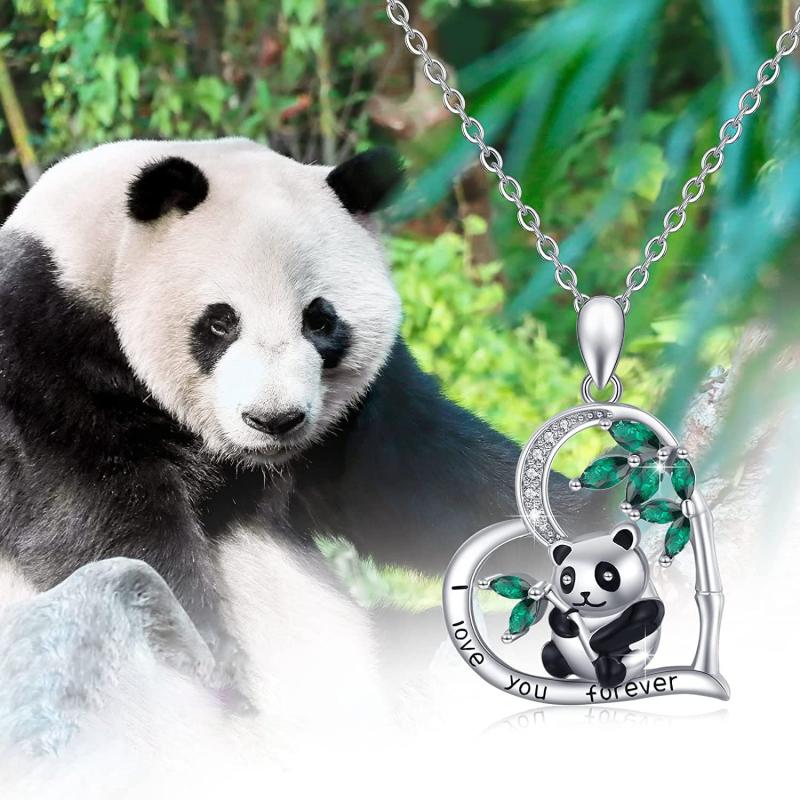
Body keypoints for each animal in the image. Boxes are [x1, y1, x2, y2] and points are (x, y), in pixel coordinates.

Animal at [542, 523, 664, 689]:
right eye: (567, 578)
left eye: (607, 575)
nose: (584, 593)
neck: (596, 614)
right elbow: (556, 616)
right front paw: (566, 625)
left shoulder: (647, 600)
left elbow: (638, 620)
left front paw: (593, 642)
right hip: (560, 651)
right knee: (549, 655)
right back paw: (556, 665)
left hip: (630, 658)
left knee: (612, 669)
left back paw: (605, 669)